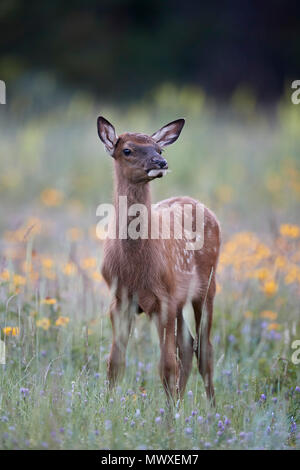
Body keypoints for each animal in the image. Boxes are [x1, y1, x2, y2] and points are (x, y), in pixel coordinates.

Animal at [98, 116, 220, 404]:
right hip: (180, 299)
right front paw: (106, 405)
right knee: (188, 345)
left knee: (204, 350)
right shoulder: (120, 299)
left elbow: (166, 366)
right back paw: (182, 402)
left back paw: (210, 409)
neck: (134, 265)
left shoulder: (163, 300)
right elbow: (114, 363)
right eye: (127, 150)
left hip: (207, 286)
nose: (161, 163)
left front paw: (169, 415)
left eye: (159, 149)